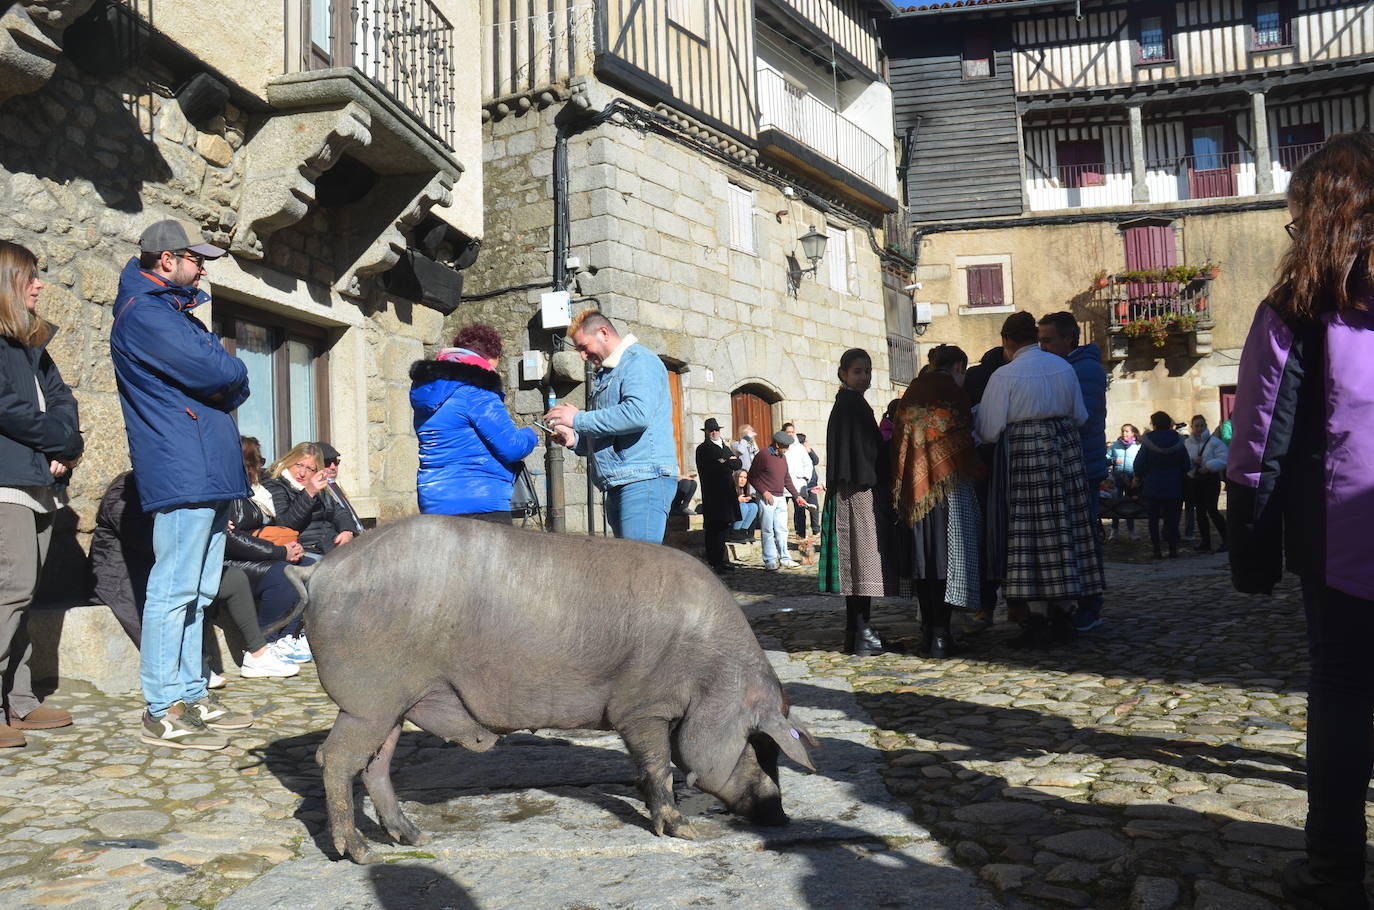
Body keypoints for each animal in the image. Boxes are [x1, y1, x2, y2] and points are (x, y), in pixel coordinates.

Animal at [273, 516, 818, 868]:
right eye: (760, 745)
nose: (781, 814)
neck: (711, 671)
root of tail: (319, 571)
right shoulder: (641, 708)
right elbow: (658, 765)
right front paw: (685, 830)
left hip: (394, 703)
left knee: (375, 767)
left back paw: (413, 837)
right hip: (368, 700)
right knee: (334, 760)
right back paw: (359, 856)